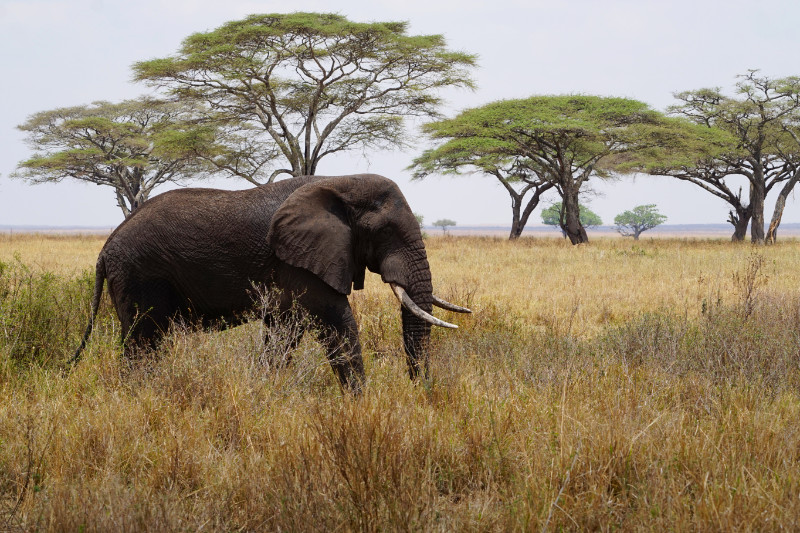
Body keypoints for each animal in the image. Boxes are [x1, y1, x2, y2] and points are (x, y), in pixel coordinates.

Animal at [71, 174, 470, 391]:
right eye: (385, 232)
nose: (421, 392)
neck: (340, 182)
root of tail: (105, 248)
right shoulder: (300, 259)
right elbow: (335, 319)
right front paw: (363, 405)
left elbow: (284, 330)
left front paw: (265, 389)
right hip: (140, 275)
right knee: (143, 339)